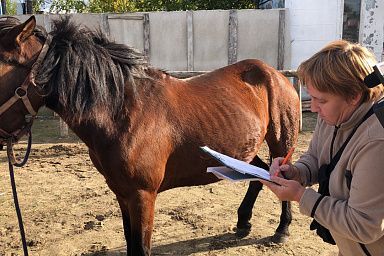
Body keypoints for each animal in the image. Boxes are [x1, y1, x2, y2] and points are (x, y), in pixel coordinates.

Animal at [0, 16, 300, 256]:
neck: (123, 112)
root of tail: (276, 74)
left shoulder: (143, 195)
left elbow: (141, 248)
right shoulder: (121, 192)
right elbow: (130, 243)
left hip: (280, 143)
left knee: (278, 175)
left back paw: (282, 230)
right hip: (242, 150)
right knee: (257, 175)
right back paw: (242, 222)